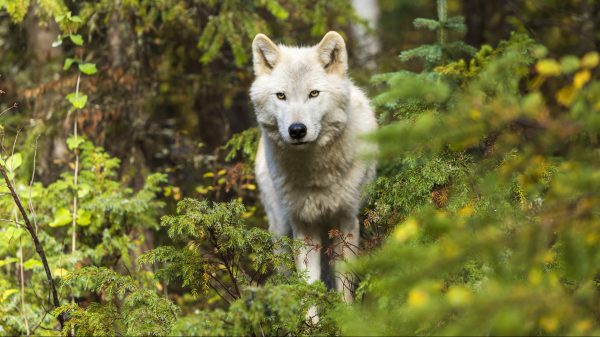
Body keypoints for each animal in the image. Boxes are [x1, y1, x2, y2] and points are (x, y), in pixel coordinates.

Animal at [248, 30, 376, 300]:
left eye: (314, 94)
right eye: (281, 95)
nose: (297, 130)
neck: (316, 175)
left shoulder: (346, 221)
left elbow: (345, 285)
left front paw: (346, 312)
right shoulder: (303, 225)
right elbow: (308, 285)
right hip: (280, 229)